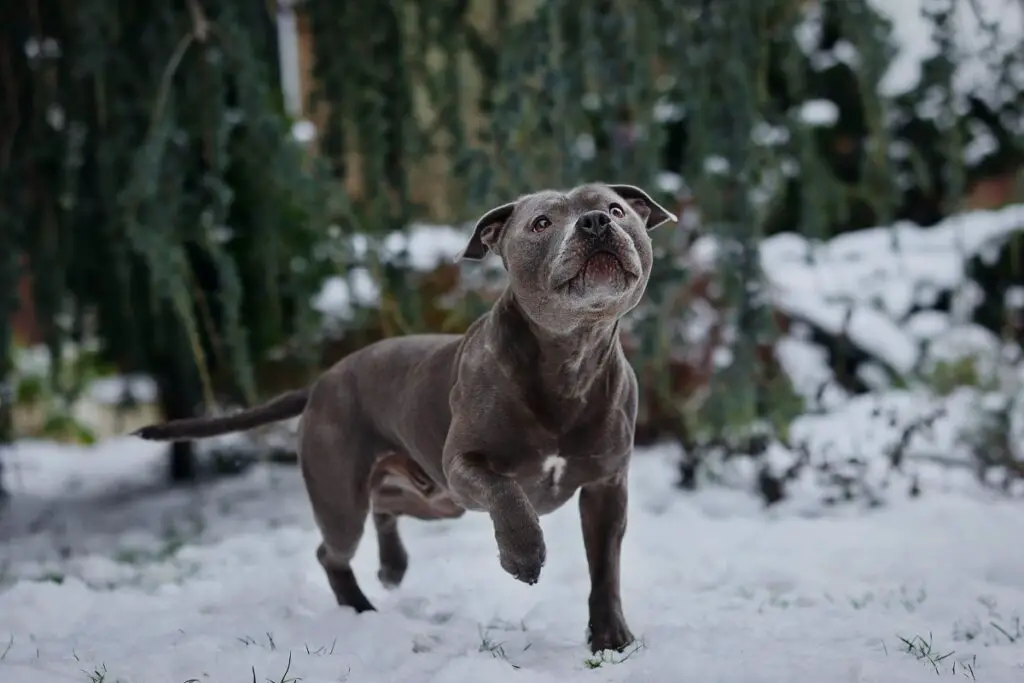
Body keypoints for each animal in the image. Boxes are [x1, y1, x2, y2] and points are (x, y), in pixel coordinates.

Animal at [132, 181, 675, 651]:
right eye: (541, 223)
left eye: (616, 209)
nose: (595, 221)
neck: (570, 357)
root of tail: (321, 383)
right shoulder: (463, 466)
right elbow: (507, 493)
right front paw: (523, 555)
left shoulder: (606, 487)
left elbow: (605, 567)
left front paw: (610, 639)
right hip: (349, 498)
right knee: (332, 549)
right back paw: (360, 608)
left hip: (433, 498)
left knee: (385, 505)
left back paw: (391, 568)